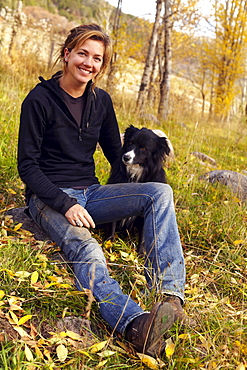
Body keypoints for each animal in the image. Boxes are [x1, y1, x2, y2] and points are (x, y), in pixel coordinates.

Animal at [107, 124, 174, 254]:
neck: (135, 172)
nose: (126, 157)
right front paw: (109, 243)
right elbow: (112, 222)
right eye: (130, 142)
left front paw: (141, 253)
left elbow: (144, 233)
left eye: (143, 148)